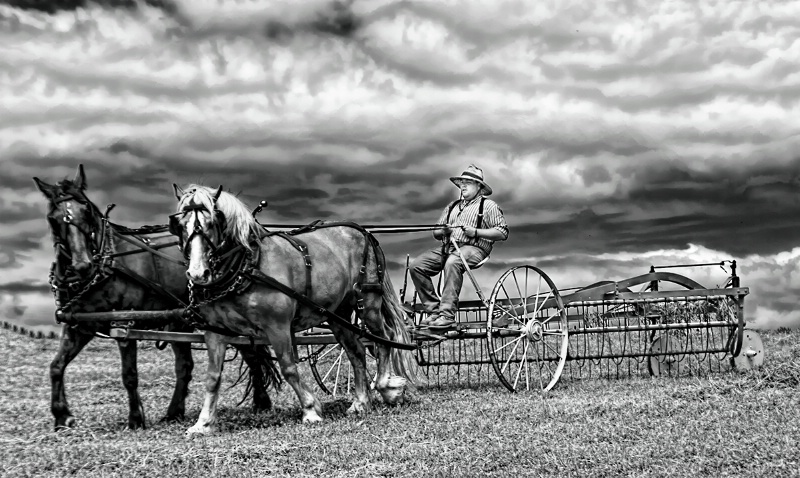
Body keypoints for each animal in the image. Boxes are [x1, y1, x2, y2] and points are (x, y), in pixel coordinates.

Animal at [36, 166, 282, 432]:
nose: (83, 265)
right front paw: (62, 415)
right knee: (187, 366)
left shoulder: (124, 323)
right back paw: (176, 411)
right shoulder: (79, 325)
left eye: (87, 211)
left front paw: (136, 418)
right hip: (181, 321)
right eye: (53, 218)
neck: (104, 264)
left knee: (251, 354)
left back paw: (261, 402)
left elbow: (129, 375)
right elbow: (56, 366)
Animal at [169, 184, 418, 434]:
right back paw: (360, 402)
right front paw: (203, 423)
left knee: (383, 338)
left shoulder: (277, 326)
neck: (247, 266)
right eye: (179, 225)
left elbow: (288, 368)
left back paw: (387, 386)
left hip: (368, 300)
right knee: (356, 351)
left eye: (212, 222)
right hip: (338, 314)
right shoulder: (215, 331)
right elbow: (212, 377)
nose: (198, 274)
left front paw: (310, 409)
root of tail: (362, 231)